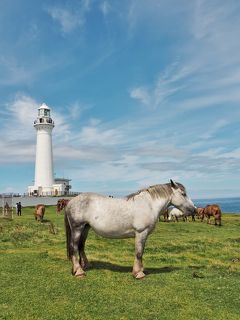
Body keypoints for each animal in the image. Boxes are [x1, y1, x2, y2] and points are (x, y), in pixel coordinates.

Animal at [64, 181, 196, 278]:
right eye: (183, 194)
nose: (194, 210)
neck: (149, 205)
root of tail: (71, 202)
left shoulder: (144, 234)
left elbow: (141, 252)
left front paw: (141, 270)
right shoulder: (141, 233)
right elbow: (139, 252)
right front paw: (138, 273)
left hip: (85, 228)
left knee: (81, 246)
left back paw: (85, 266)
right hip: (77, 228)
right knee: (74, 247)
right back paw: (79, 271)